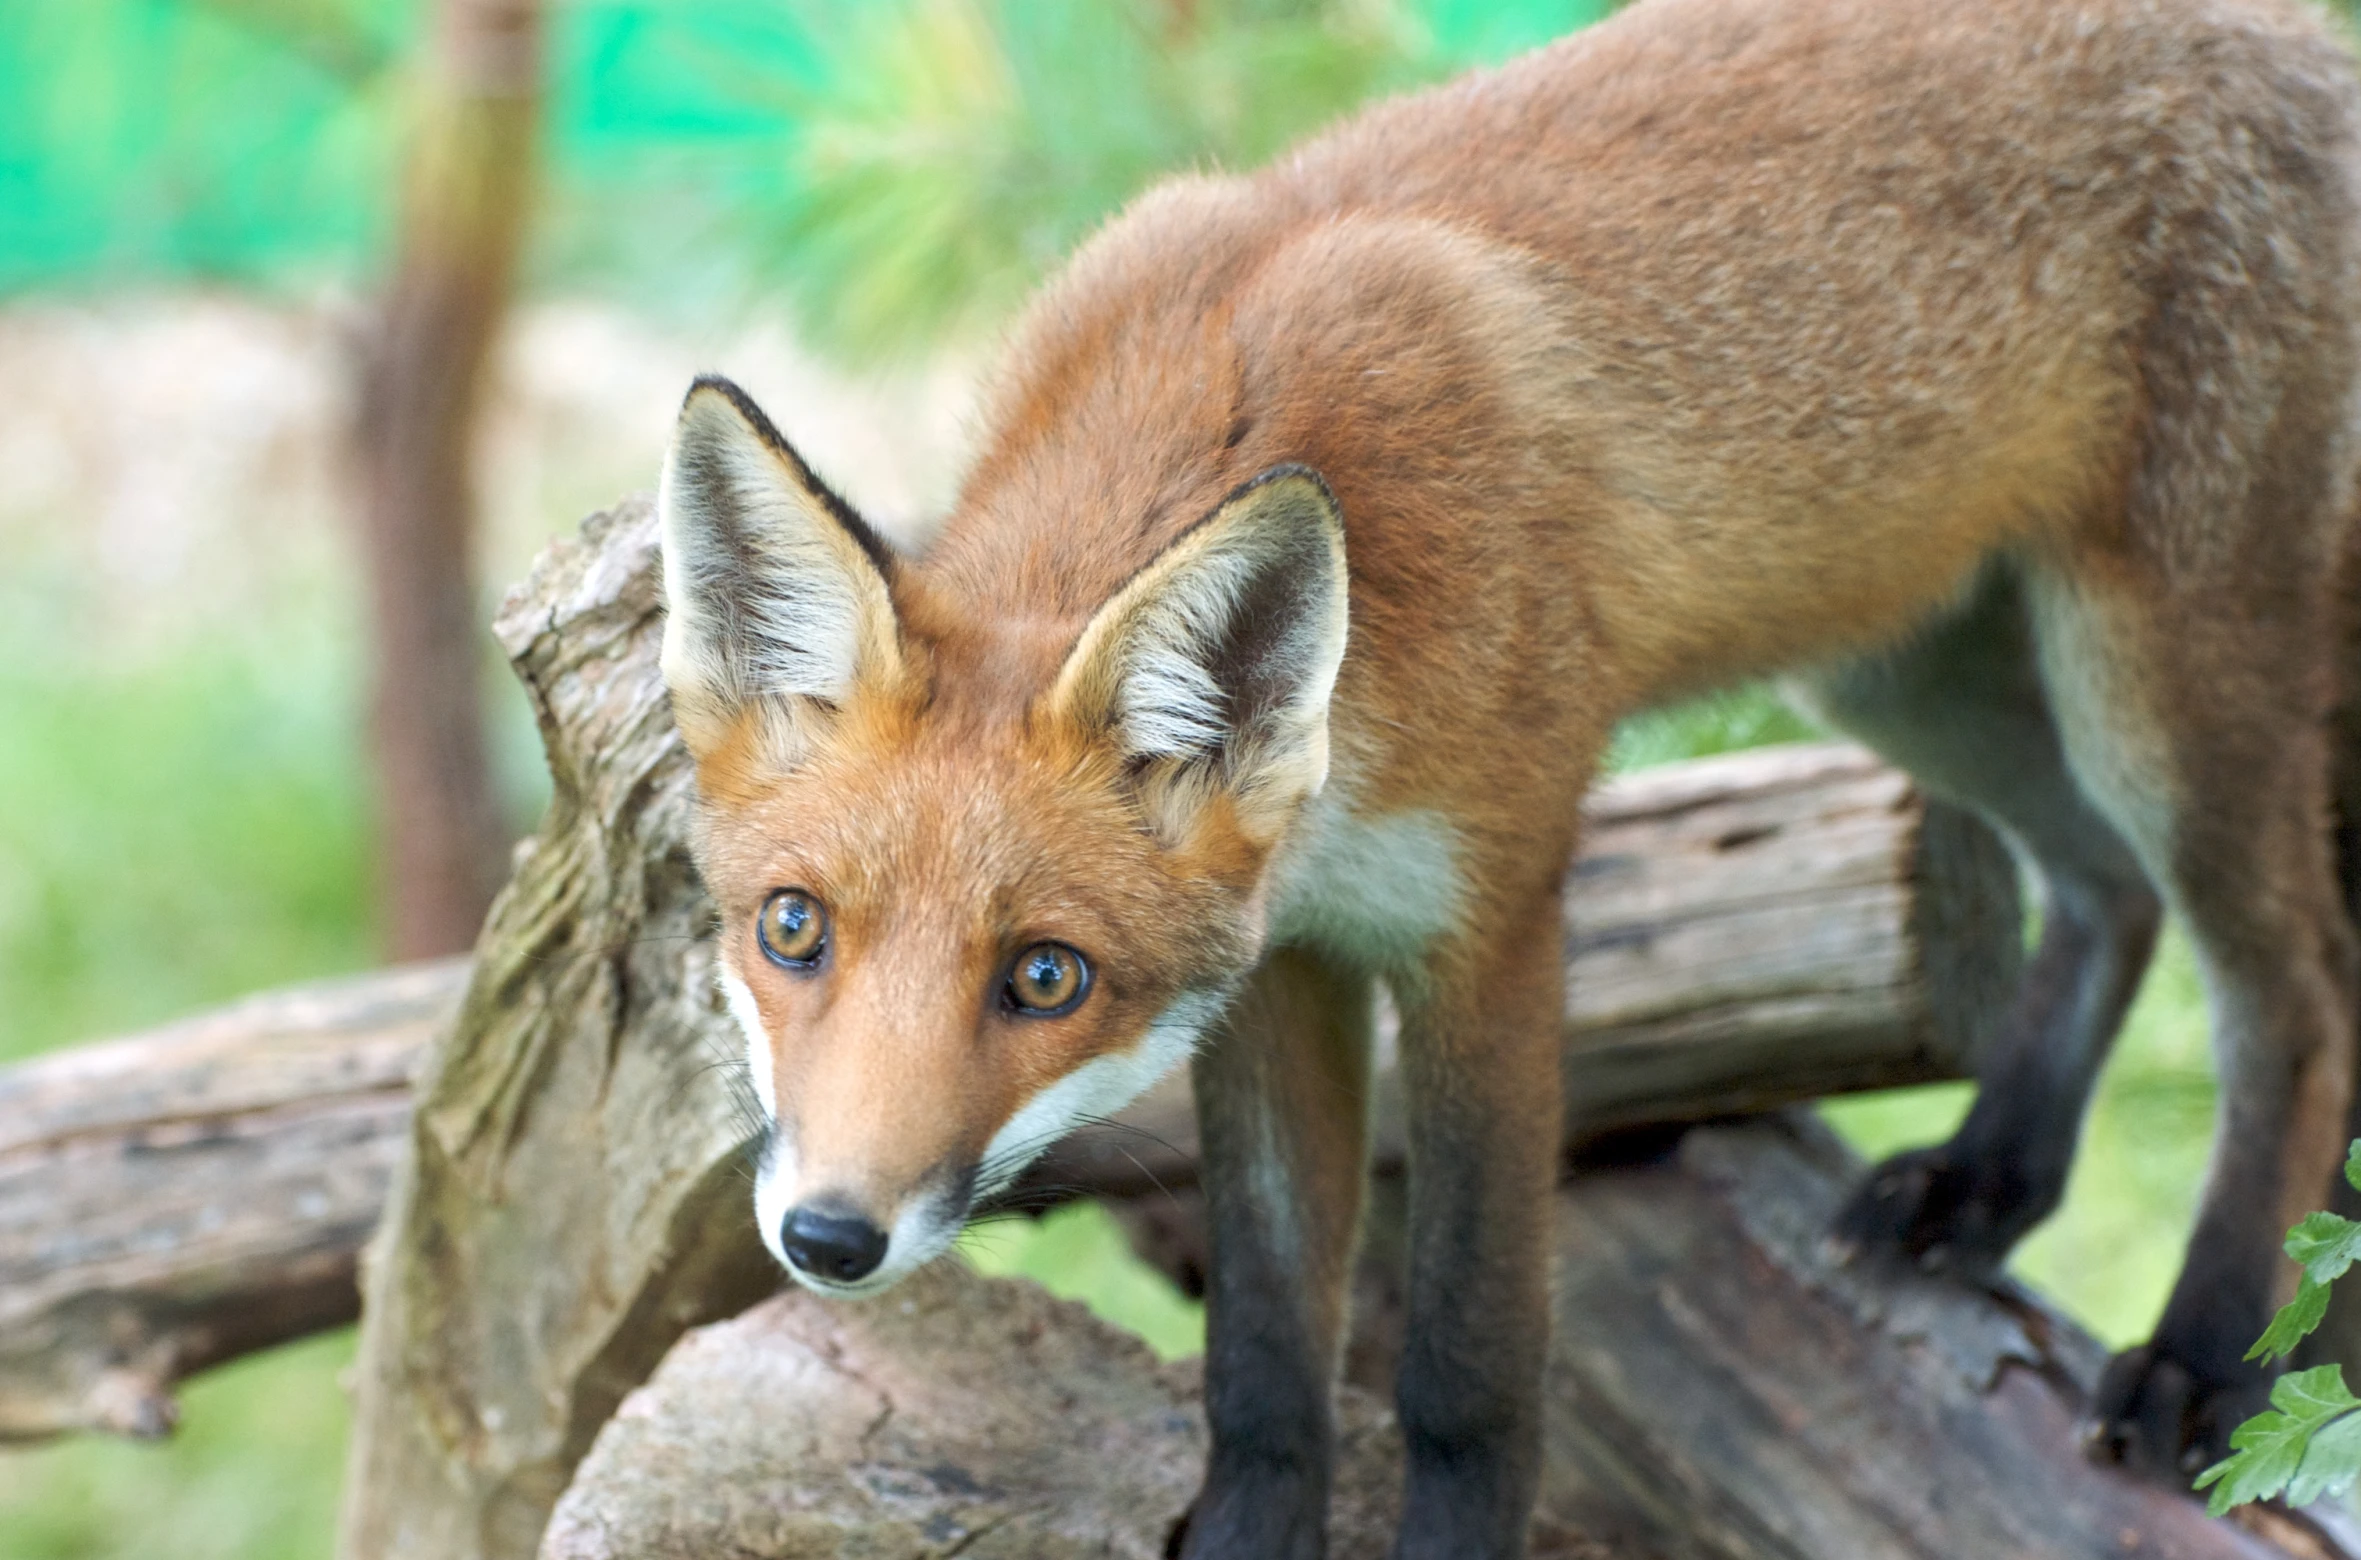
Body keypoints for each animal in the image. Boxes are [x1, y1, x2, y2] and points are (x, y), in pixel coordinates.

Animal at [656, 0, 2361, 1548]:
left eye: (1044, 977)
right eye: (792, 929)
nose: (829, 1237)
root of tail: (2293, 36)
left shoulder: (1488, 912)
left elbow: (1465, 1369)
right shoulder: (1277, 963)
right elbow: (1263, 1356)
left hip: (2152, 679)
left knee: (2295, 994)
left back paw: (2210, 1354)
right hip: (1911, 662)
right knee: (2104, 890)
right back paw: (1988, 1180)